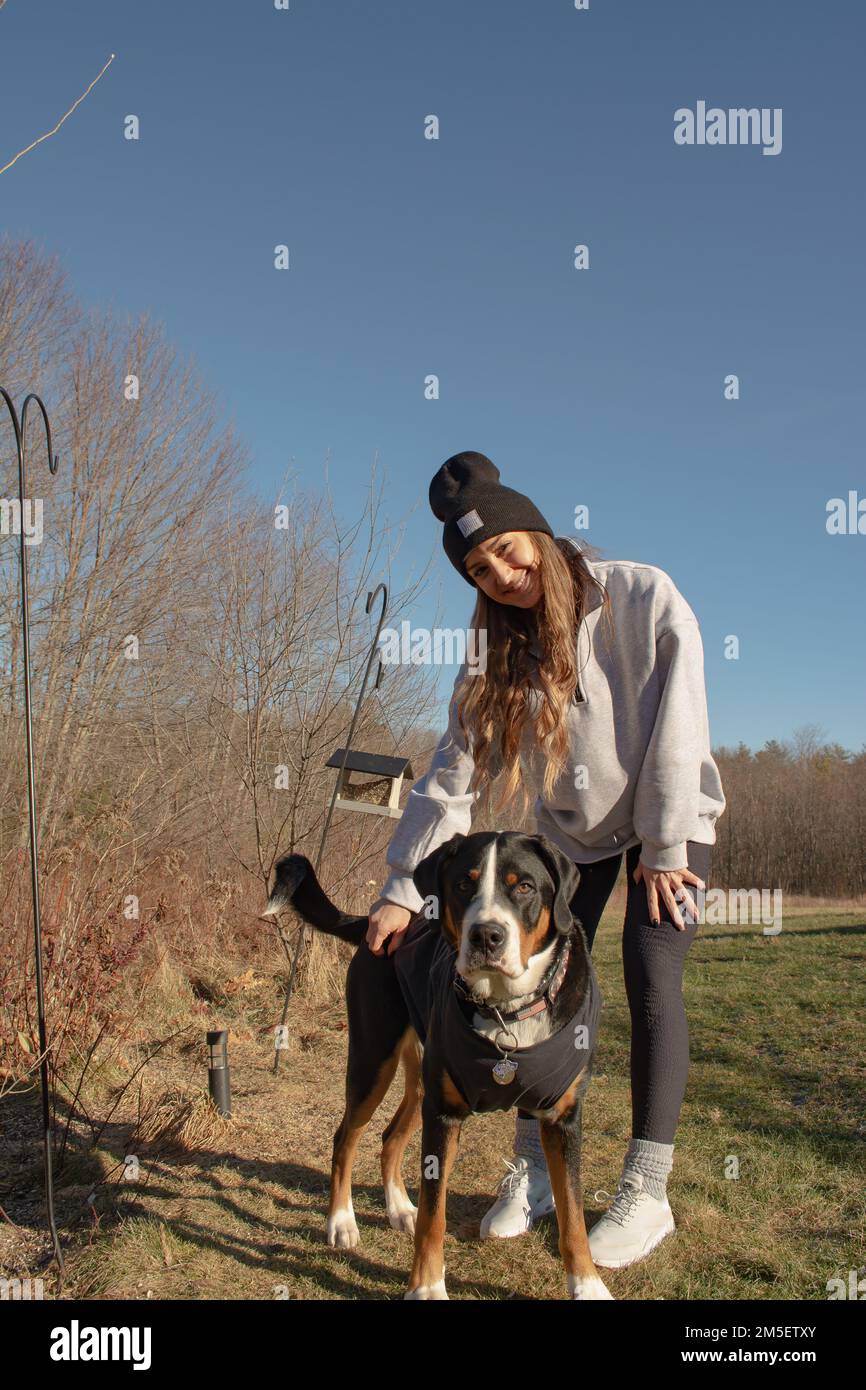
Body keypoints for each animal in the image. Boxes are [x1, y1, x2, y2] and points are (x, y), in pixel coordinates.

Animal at [261, 828, 614, 1295]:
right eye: (464, 884)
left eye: (523, 886)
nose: (486, 936)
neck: (507, 1012)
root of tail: (383, 923)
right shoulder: (444, 1115)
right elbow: (435, 1215)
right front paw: (427, 1287)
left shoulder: (563, 1119)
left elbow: (572, 1216)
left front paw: (589, 1286)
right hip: (374, 1061)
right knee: (345, 1137)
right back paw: (341, 1221)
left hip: (420, 1083)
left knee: (391, 1136)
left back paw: (398, 1208)